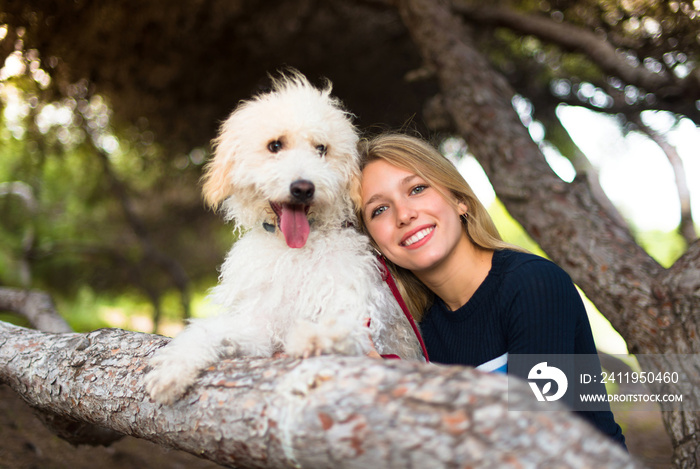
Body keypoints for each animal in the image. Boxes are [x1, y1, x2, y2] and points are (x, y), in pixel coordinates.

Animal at [144, 71, 422, 404]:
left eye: (321, 149)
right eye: (275, 145)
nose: (303, 188)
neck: (295, 252)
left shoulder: (360, 313)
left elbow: (345, 326)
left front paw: (316, 338)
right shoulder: (259, 326)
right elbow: (209, 332)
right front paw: (174, 369)